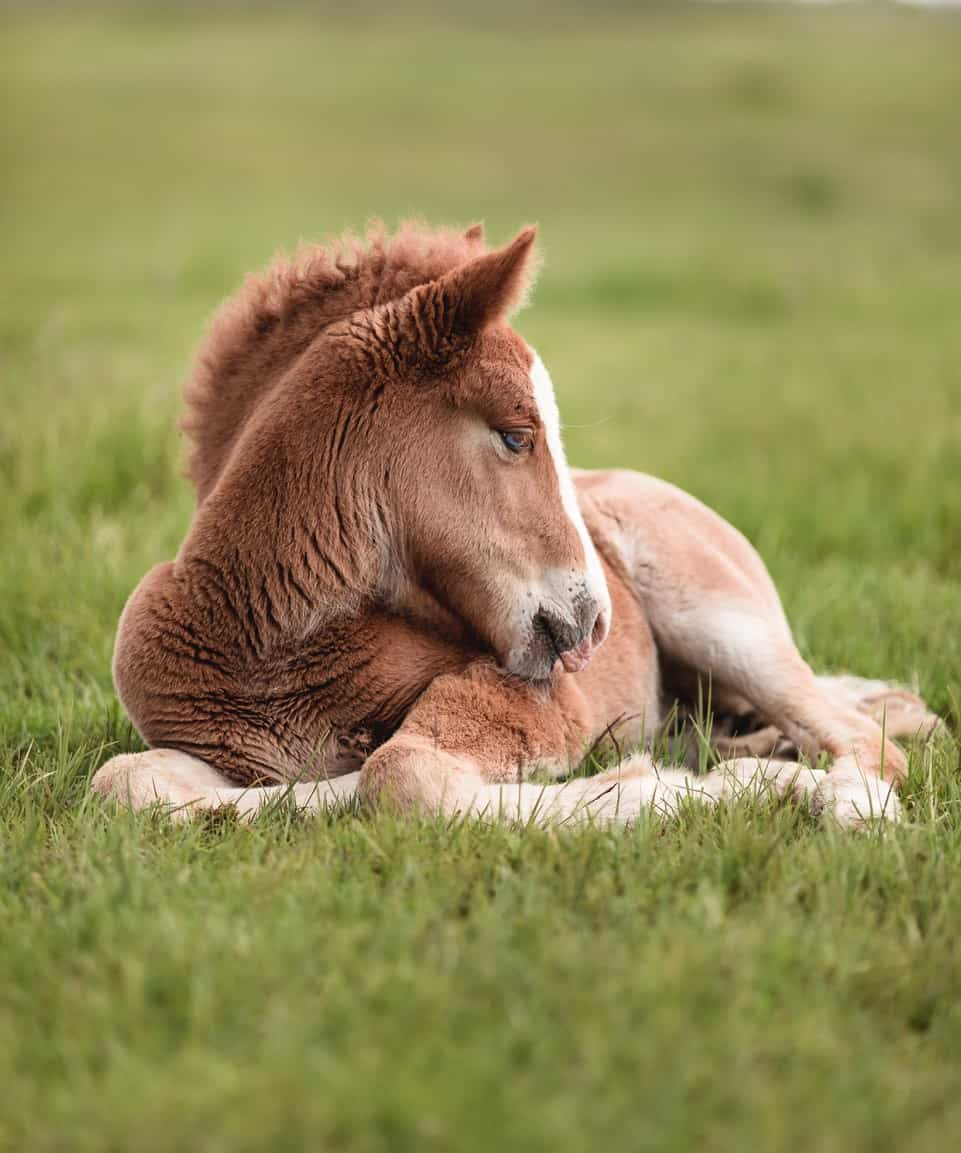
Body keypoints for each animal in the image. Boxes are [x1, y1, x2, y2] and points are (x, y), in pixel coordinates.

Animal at [95, 217, 936, 830]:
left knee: (861, 738)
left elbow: (399, 774)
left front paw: (675, 788)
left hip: (721, 621)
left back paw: (838, 798)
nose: (594, 622)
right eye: (515, 436)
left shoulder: (534, 703)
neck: (274, 646)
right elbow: (123, 780)